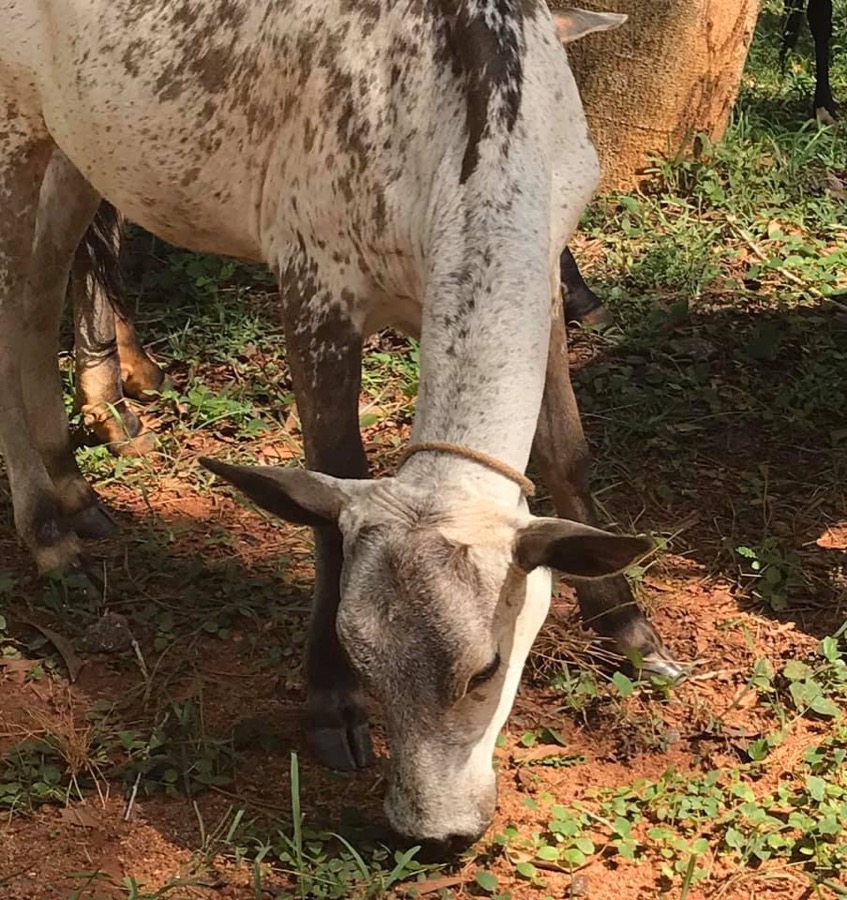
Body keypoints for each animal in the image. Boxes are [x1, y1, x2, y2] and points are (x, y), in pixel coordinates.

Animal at [0, 1, 681, 848]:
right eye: (361, 654)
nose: (434, 831)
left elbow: (565, 455)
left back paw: (75, 485)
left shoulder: (544, 278)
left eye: (484, 669)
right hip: (14, 122)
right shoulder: (313, 286)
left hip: (74, 144)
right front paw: (329, 704)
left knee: (40, 288)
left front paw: (628, 625)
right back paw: (43, 524)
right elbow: (331, 489)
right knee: (13, 294)